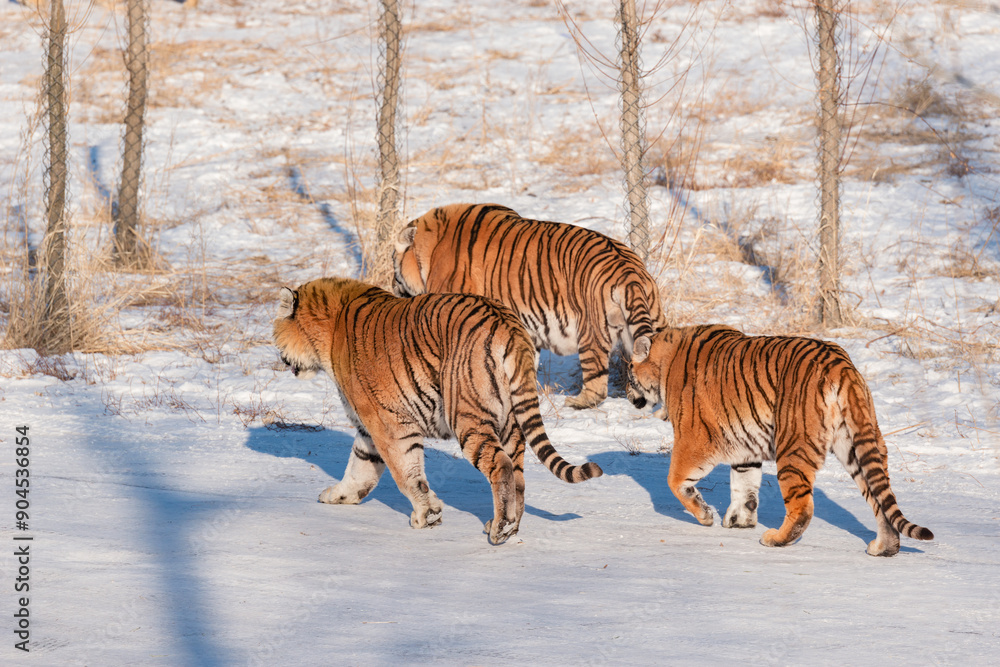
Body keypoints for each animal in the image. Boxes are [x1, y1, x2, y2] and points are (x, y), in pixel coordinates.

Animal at [272, 277, 603, 545]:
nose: (280, 358)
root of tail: (507, 323)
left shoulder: (387, 422)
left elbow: (406, 473)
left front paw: (427, 515)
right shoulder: (369, 428)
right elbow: (360, 467)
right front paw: (339, 496)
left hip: (467, 416)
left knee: (501, 466)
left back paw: (499, 530)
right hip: (512, 420)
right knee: (518, 474)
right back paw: (508, 526)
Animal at [392, 203, 667, 410]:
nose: (393, 286)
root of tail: (630, 272)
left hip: (591, 333)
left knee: (597, 383)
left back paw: (575, 403)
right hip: (653, 322)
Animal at [625, 324, 934, 556]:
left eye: (628, 371)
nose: (625, 392)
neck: (666, 361)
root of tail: (841, 364)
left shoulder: (693, 439)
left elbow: (675, 481)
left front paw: (705, 515)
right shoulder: (745, 449)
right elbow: (745, 486)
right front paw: (740, 520)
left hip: (793, 448)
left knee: (803, 508)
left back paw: (775, 539)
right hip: (856, 445)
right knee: (880, 499)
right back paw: (885, 548)